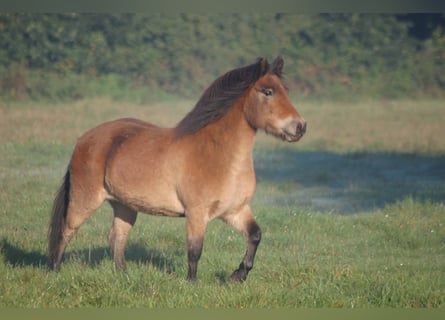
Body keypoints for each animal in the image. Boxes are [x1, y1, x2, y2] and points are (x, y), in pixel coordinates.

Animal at [48, 56, 306, 282]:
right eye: (268, 91)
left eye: (285, 90)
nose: (300, 126)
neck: (220, 157)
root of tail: (84, 139)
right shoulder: (196, 214)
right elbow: (195, 250)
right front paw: (192, 284)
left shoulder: (235, 211)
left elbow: (255, 236)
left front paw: (237, 276)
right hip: (85, 200)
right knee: (66, 231)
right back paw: (55, 272)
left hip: (124, 206)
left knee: (116, 238)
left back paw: (124, 277)